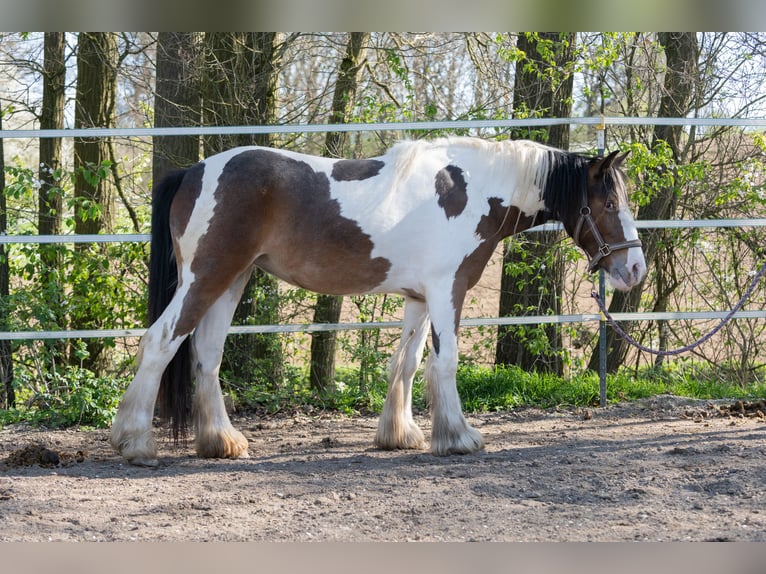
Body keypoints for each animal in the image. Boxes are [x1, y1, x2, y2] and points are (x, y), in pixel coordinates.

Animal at [109, 136, 648, 468]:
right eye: (607, 204)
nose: (636, 270)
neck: (474, 190)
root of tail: (193, 171)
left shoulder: (420, 297)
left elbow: (405, 364)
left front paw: (400, 434)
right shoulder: (449, 289)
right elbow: (444, 362)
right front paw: (459, 437)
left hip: (233, 280)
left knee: (207, 356)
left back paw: (221, 441)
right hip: (207, 277)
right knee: (159, 343)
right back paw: (135, 443)